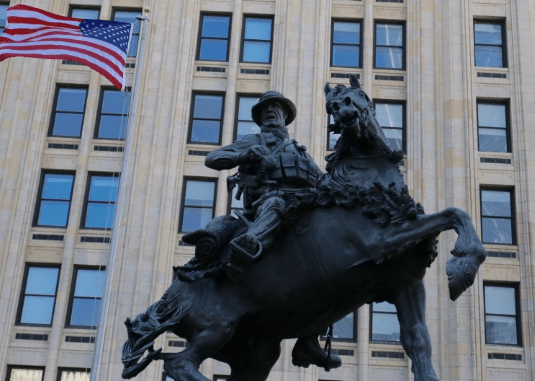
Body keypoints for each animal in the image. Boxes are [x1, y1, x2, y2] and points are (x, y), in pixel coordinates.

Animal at [120, 74, 486, 380]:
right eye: (332, 105)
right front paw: (462, 268)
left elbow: (418, 341)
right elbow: (451, 214)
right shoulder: (381, 241)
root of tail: (174, 292)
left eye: (361, 96)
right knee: (180, 364)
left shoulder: (404, 281)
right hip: (217, 326)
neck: (364, 188)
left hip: (256, 350)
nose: (347, 113)